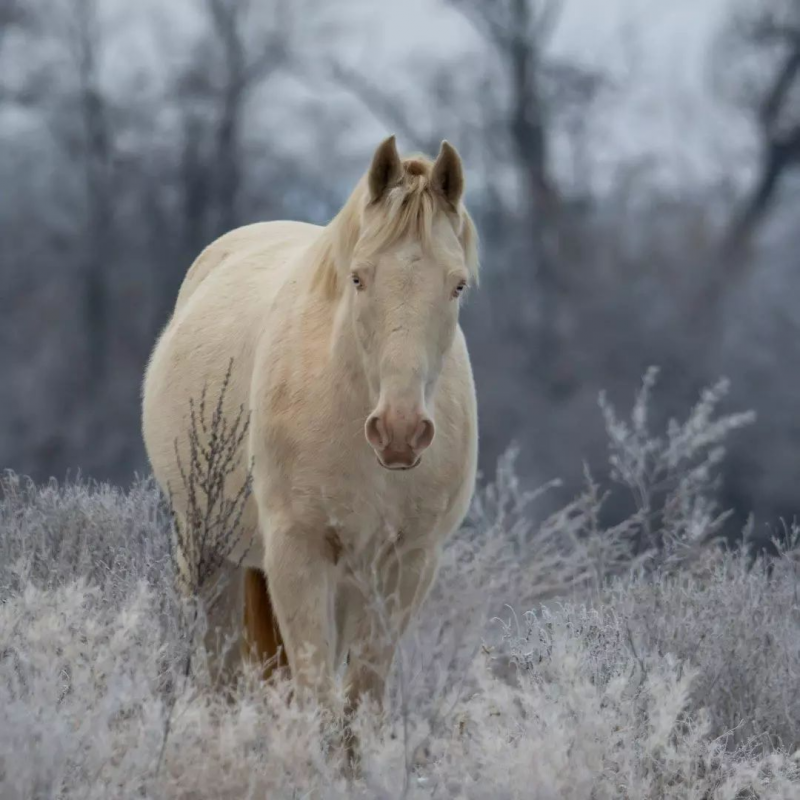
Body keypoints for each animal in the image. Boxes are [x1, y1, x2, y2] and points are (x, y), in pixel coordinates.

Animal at [141, 136, 478, 720]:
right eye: (359, 277)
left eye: (456, 285)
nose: (399, 431)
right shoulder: (296, 552)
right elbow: (316, 699)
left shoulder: (406, 563)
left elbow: (359, 706)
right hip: (204, 549)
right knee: (219, 676)